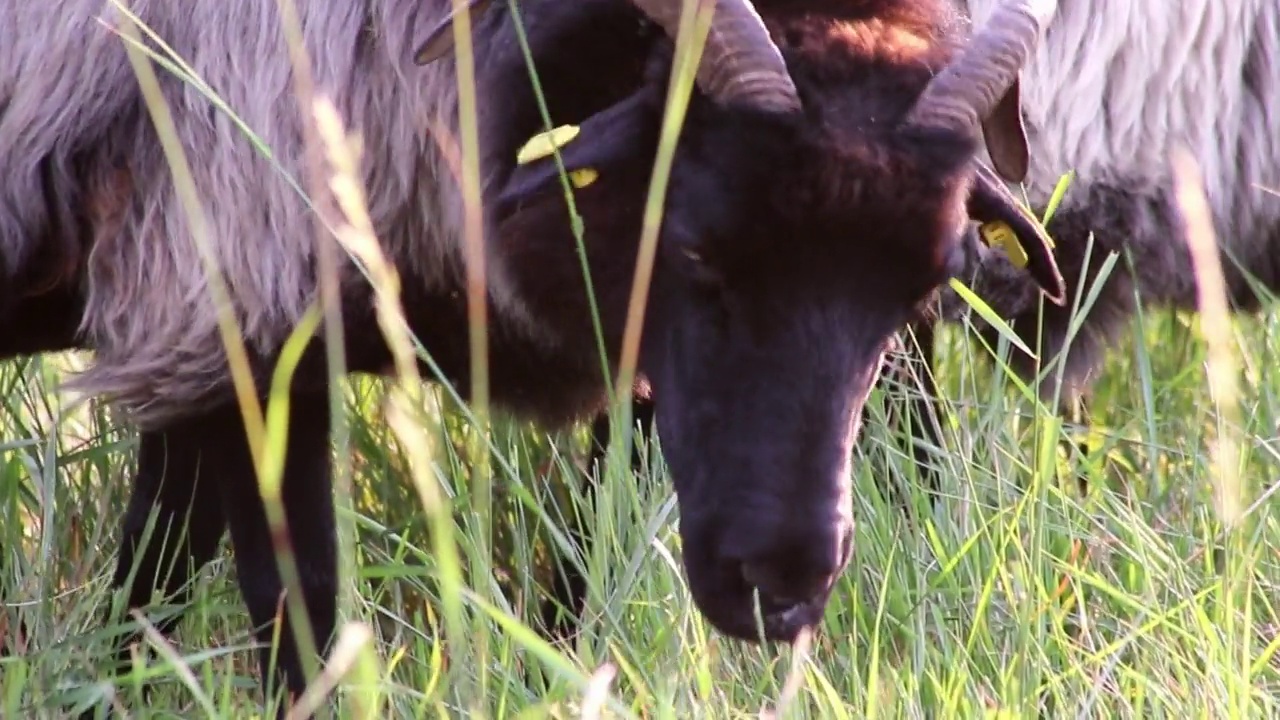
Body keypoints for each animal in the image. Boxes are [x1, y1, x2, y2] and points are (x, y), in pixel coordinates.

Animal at [0, 0, 1064, 707]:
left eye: (919, 290)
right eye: (694, 249)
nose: (783, 588)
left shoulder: (187, 308)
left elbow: (157, 564)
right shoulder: (235, 284)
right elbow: (288, 599)